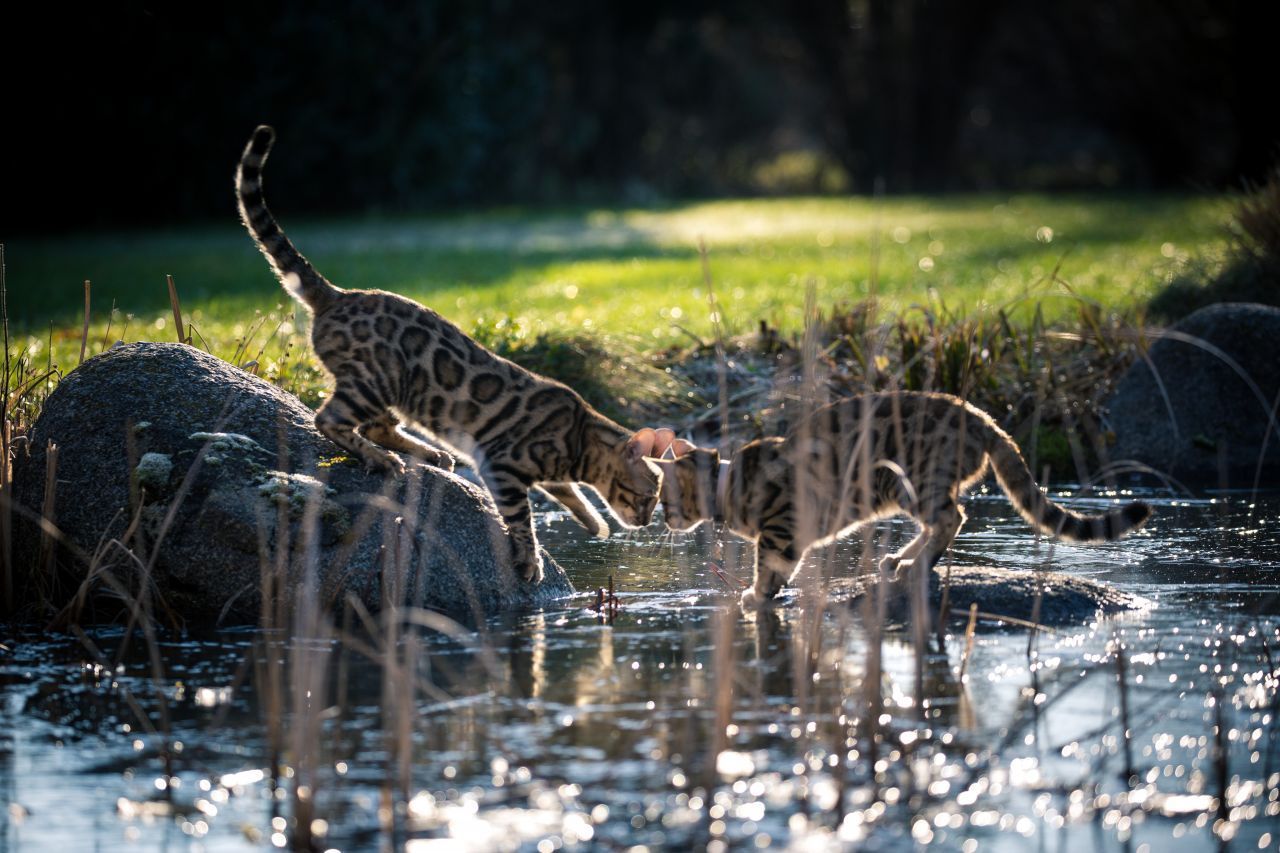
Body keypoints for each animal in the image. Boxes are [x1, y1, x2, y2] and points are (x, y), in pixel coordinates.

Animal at [234, 124, 665, 578]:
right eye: (645, 497)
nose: (646, 522)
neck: (580, 437)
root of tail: (336, 294)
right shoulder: (502, 465)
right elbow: (524, 517)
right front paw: (531, 560)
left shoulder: (540, 473)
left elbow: (571, 495)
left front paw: (595, 523)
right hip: (376, 380)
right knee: (330, 420)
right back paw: (382, 460)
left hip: (391, 388)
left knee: (375, 426)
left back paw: (429, 453)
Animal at [645, 389, 1157, 604]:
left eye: (663, 497)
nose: (659, 520)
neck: (729, 485)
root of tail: (983, 419)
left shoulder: (783, 530)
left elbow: (769, 569)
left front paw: (754, 596)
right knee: (945, 520)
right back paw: (900, 560)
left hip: (908, 477)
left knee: (953, 518)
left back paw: (914, 564)